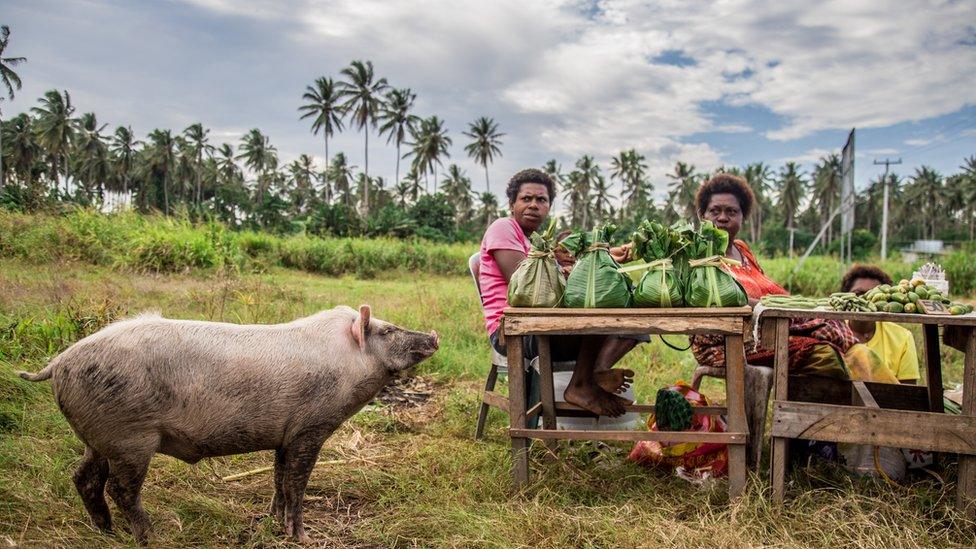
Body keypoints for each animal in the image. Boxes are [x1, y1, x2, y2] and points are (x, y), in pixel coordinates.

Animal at [17, 304, 438, 544]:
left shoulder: (284, 435)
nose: (434, 335)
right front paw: (303, 537)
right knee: (121, 489)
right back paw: (151, 537)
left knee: (83, 478)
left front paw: (273, 522)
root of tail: (59, 362)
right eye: (387, 330)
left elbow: (278, 479)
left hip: (98, 438)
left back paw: (108, 532)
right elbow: (296, 483)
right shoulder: (310, 427)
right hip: (129, 439)